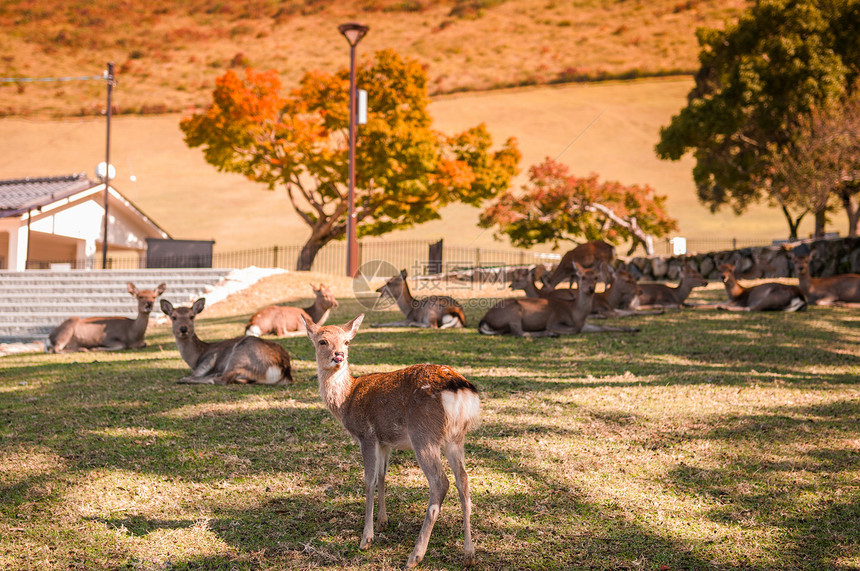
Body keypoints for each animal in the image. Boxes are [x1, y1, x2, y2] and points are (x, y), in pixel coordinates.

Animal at [161, 298, 292, 386]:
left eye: (192, 316)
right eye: (173, 317)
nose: (183, 329)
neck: (196, 357)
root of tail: (283, 370)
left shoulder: (209, 358)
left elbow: (197, 373)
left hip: (240, 355)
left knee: (222, 380)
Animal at [300, 316, 478, 568]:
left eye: (346, 341)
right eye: (322, 341)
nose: (338, 355)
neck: (347, 399)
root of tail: (460, 388)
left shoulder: (366, 435)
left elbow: (369, 480)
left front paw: (366, 538)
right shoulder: (385, 441)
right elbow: (383, 476)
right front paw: (383, 521)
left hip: (423, 433)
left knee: (440, 482)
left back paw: (414, 556)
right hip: (456, 438)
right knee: (464, 481)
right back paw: (469, 554)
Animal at [478, 262, 640, 338]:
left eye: (596, 277)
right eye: (582, 277)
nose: (591, 289)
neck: (575, 313)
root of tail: (484, 319)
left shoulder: (585, 324)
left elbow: (604, 327)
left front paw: (633, 328)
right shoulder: (555, 320)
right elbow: (574, 330)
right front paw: (553, 331)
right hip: (514, 312)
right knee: (520, 332)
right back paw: (550, 334)